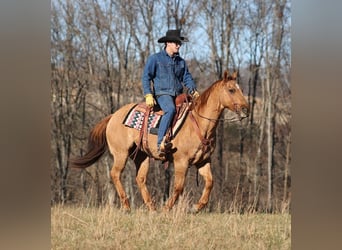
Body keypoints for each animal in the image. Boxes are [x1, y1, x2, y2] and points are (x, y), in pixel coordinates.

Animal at [70, 70, 248, 213]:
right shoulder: (181, 162)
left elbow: (210, 182)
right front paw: (167, 208)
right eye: (231, 89)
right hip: (121, 153)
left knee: (140, 179)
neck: (199, 123)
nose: (246, 108)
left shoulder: (203, 161)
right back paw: (127, 206)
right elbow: (178, 187)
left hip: (141, 156)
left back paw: (151, 207)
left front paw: (196, 207)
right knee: (115, 174)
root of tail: (114, 115)